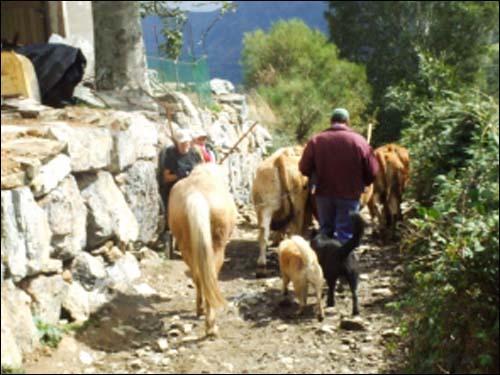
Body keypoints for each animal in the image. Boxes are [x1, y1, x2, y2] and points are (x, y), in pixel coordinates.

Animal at [168, 164, 236, 338]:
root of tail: (196, 195)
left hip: (186, 247)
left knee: (198, 276)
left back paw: (201, 310)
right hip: (217, 246)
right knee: (211, 274)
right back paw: (211, 326)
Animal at [252, 145, 310, 278]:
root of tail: (279, 159)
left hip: (264, 207)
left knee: (263, 234)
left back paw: (261, 267)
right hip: (298, 208)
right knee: (295, 232)